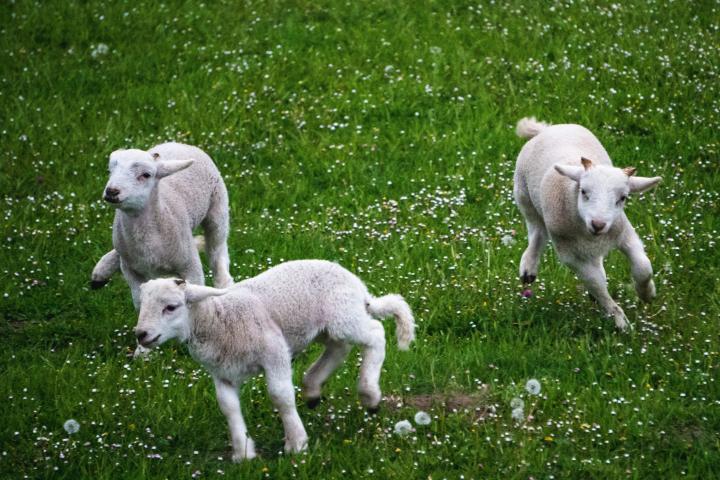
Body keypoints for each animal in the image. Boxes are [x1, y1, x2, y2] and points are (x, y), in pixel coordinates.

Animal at [91, 142, 233, 308]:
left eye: (146, 175)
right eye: (109, 171)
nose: (111, 191)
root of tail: (180, 144)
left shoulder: (191, 267)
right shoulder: (130, 270)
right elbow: (139, 301)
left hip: (218, 208)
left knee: (217, 250)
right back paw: (101, 271)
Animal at [133, 259, 416, 462]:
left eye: (171, 307)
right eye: (142, 306)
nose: (141, 334)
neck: (219, 320)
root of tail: (358, 284)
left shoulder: (274, 352)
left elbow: (280, 396)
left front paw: (297, 443)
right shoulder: (221, 371)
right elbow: (228, 407)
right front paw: (243, 452)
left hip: (343, 316)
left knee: (375, 335)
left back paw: (369, 395)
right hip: (326, 327)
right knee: (339, 348)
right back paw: (313, 389)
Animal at [514, 117, 662, 330]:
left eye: (623, 198)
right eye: (583, 191)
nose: (598, 224)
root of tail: (549, 129)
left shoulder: (625, 233)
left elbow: (643, 267)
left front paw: (647, 293)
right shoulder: (571, 255)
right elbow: (596, 284)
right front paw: (620, 321)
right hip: (523, 195)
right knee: (537, 231)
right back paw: (529, 266)